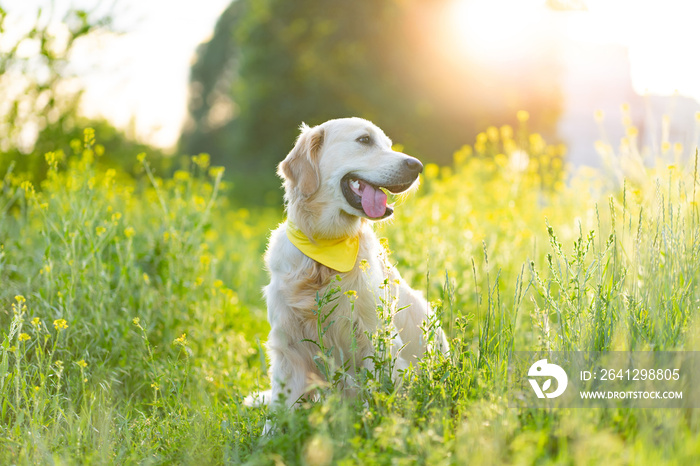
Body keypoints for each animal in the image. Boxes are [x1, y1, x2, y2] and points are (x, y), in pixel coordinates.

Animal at [252, 117, 448, 408]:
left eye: (388, 144)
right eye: (364, 140)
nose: (417, 166)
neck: (324, 253)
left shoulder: (375, 338)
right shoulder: (288, 347)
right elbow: (283, 409)